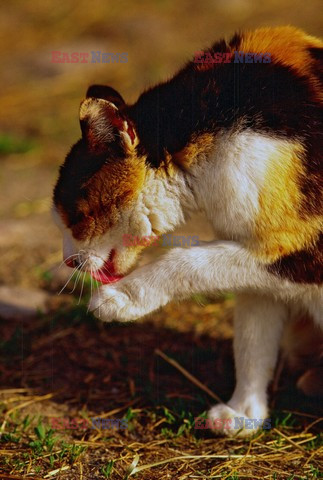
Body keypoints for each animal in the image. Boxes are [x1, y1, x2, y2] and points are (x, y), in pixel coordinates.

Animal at [53, 27, 323, 436]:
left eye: (79, 217)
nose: (68, 260)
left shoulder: (300, 251)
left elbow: (188, 261)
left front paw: (119, 300)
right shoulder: (249, 241)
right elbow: (252, 337)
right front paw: (242, 414)